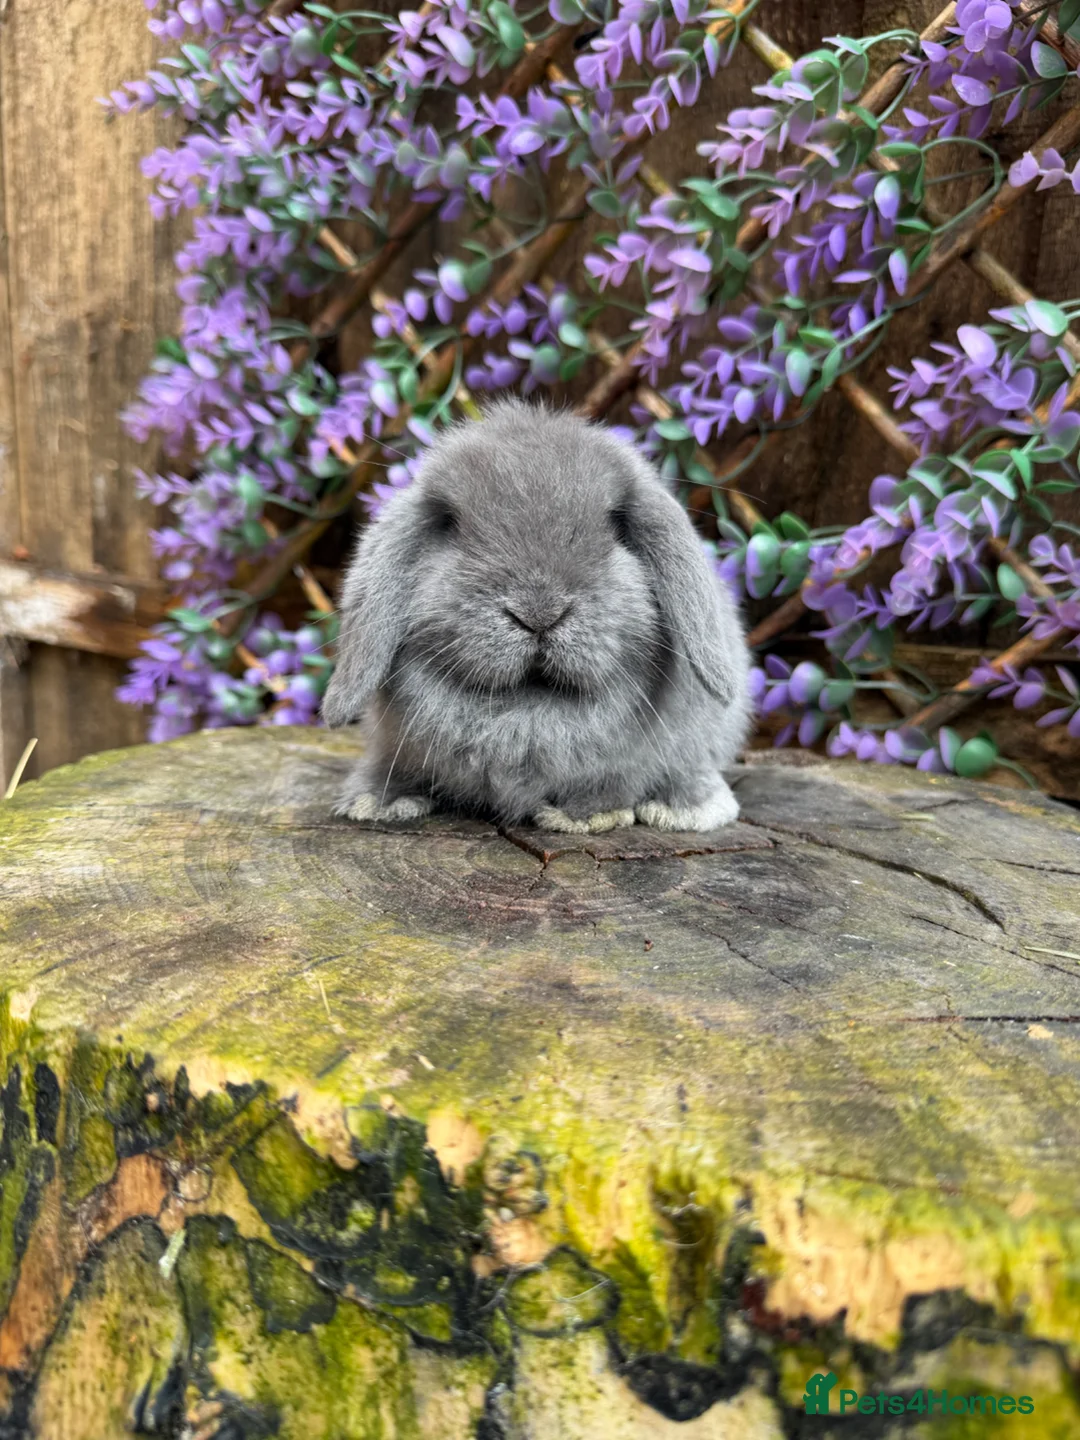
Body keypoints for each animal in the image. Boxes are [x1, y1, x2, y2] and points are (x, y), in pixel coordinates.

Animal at [321, 398, 752, 833]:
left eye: (616, 524)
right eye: (450, 523)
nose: (538, 613)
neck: (527, 716)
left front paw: (583, 816)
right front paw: (376, 801)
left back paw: (684, 809)